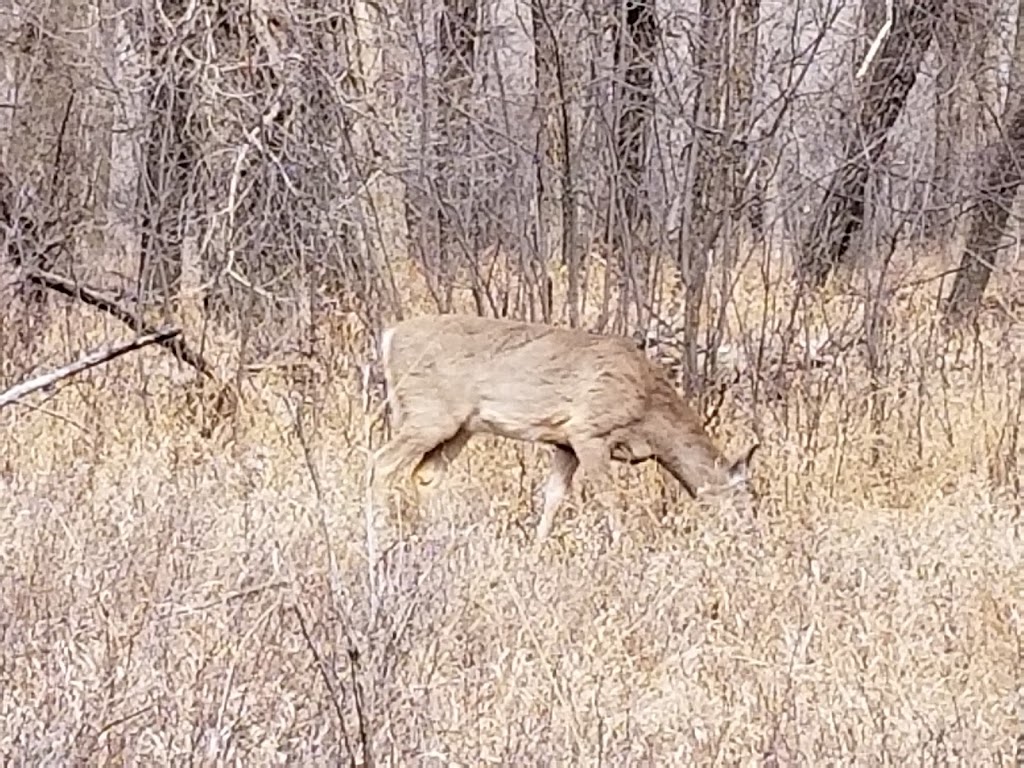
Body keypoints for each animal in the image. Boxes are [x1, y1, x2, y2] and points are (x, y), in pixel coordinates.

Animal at [372, 313, 757, 540]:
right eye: (743, 499)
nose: (749, 536)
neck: (650, 414)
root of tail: (390, 334)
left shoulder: (564, 443)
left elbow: (553, 496)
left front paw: (537, 548)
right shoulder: (589, 430)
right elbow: (609, 498)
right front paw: (623, 547)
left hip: (460, 426)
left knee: (425, 475)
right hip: (427, 413)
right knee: (382, 463)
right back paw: (378, 540)